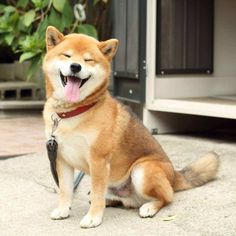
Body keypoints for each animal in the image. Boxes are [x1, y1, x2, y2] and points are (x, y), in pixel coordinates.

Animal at [42, 26, 219, 229]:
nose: (75, 67)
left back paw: (149, 207)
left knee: (167, 197)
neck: (72, 112)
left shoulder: (98, 160)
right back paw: (112, 200)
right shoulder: (61, 159)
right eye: (67, 55)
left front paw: (93, 217)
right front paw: (63, 210)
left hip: (141, 171)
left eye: (88, 60)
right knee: (121, 199)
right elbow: (65, 190)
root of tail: (174, 176)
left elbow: (96, 193)